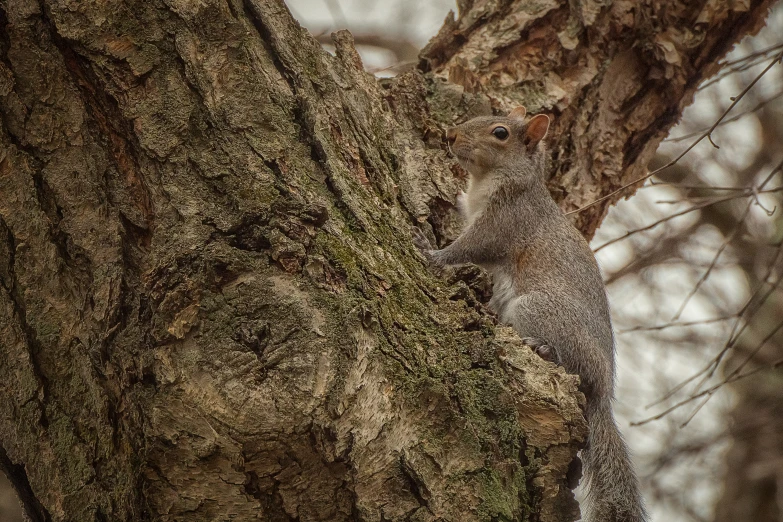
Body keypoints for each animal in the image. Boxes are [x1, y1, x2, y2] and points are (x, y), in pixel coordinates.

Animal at [416, 106, 648, 520]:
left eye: (500, 132)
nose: (450, 135)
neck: (488, 180)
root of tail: (604, 393)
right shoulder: (475, 207)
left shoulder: (505, 221)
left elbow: (469, 248)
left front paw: (432, 252)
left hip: (535, 310)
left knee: (571, 365)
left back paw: (543, 349)